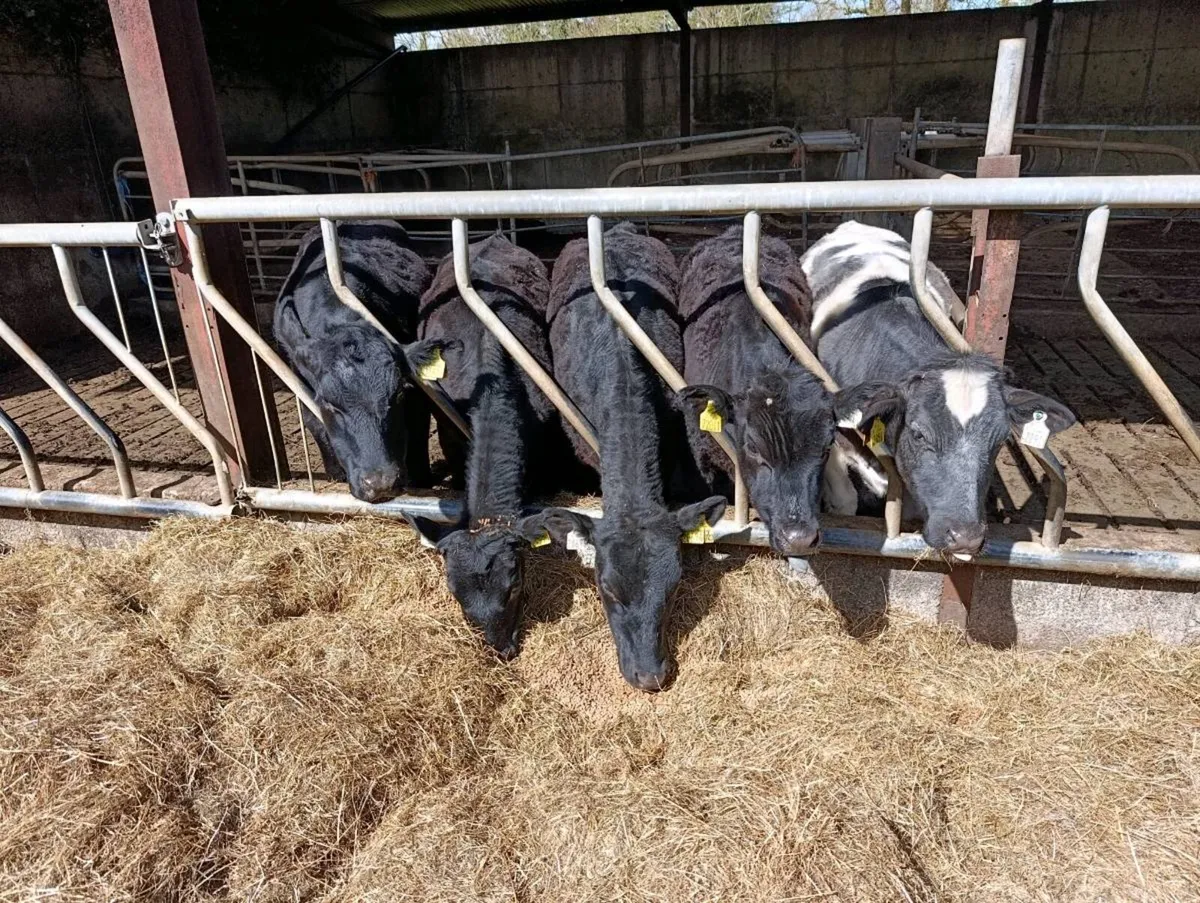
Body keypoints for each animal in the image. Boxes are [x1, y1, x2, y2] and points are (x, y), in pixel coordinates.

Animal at [273, 220, 449, 502]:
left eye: (398, 395)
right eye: (330, 404)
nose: (380, 484)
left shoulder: (417, 395)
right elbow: (315, 423)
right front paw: (335, 473)